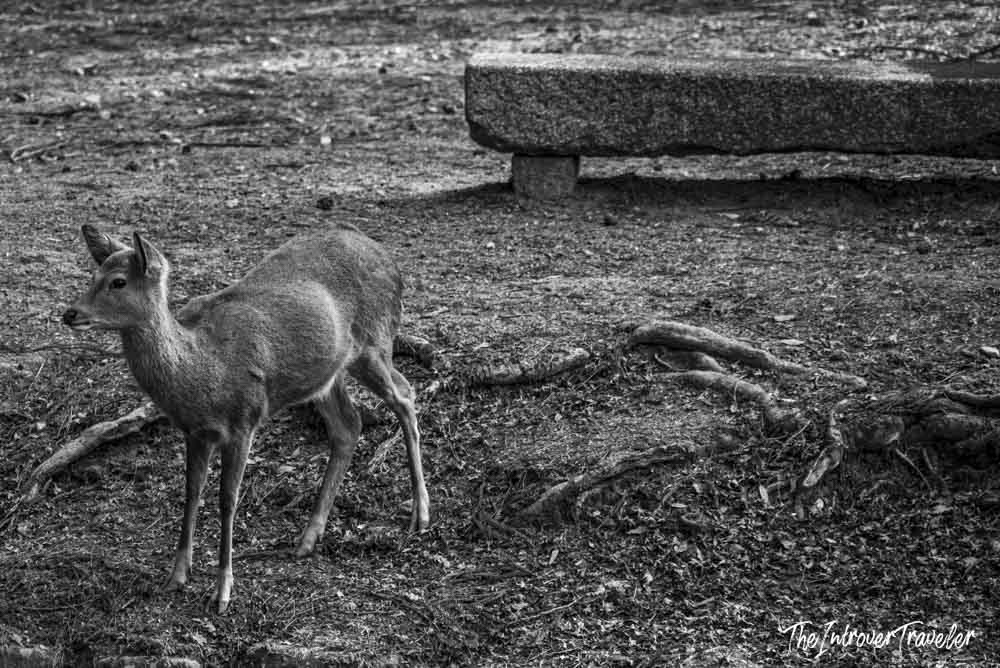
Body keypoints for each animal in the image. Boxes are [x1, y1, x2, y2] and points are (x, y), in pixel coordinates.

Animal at [61, 222, 430, 614]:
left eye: (118, 281)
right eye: (93, 275)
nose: (70, 313)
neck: (202, 370)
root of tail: (390, 261)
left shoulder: (244, 420)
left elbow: (228, 500)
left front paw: (222, 590)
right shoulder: (195, 432)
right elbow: (191, 492)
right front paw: (177, 575)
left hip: (375, 342)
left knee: (405, 394)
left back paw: (420, 513)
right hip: (326, 375)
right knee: (349, 425)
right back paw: (308, 537)